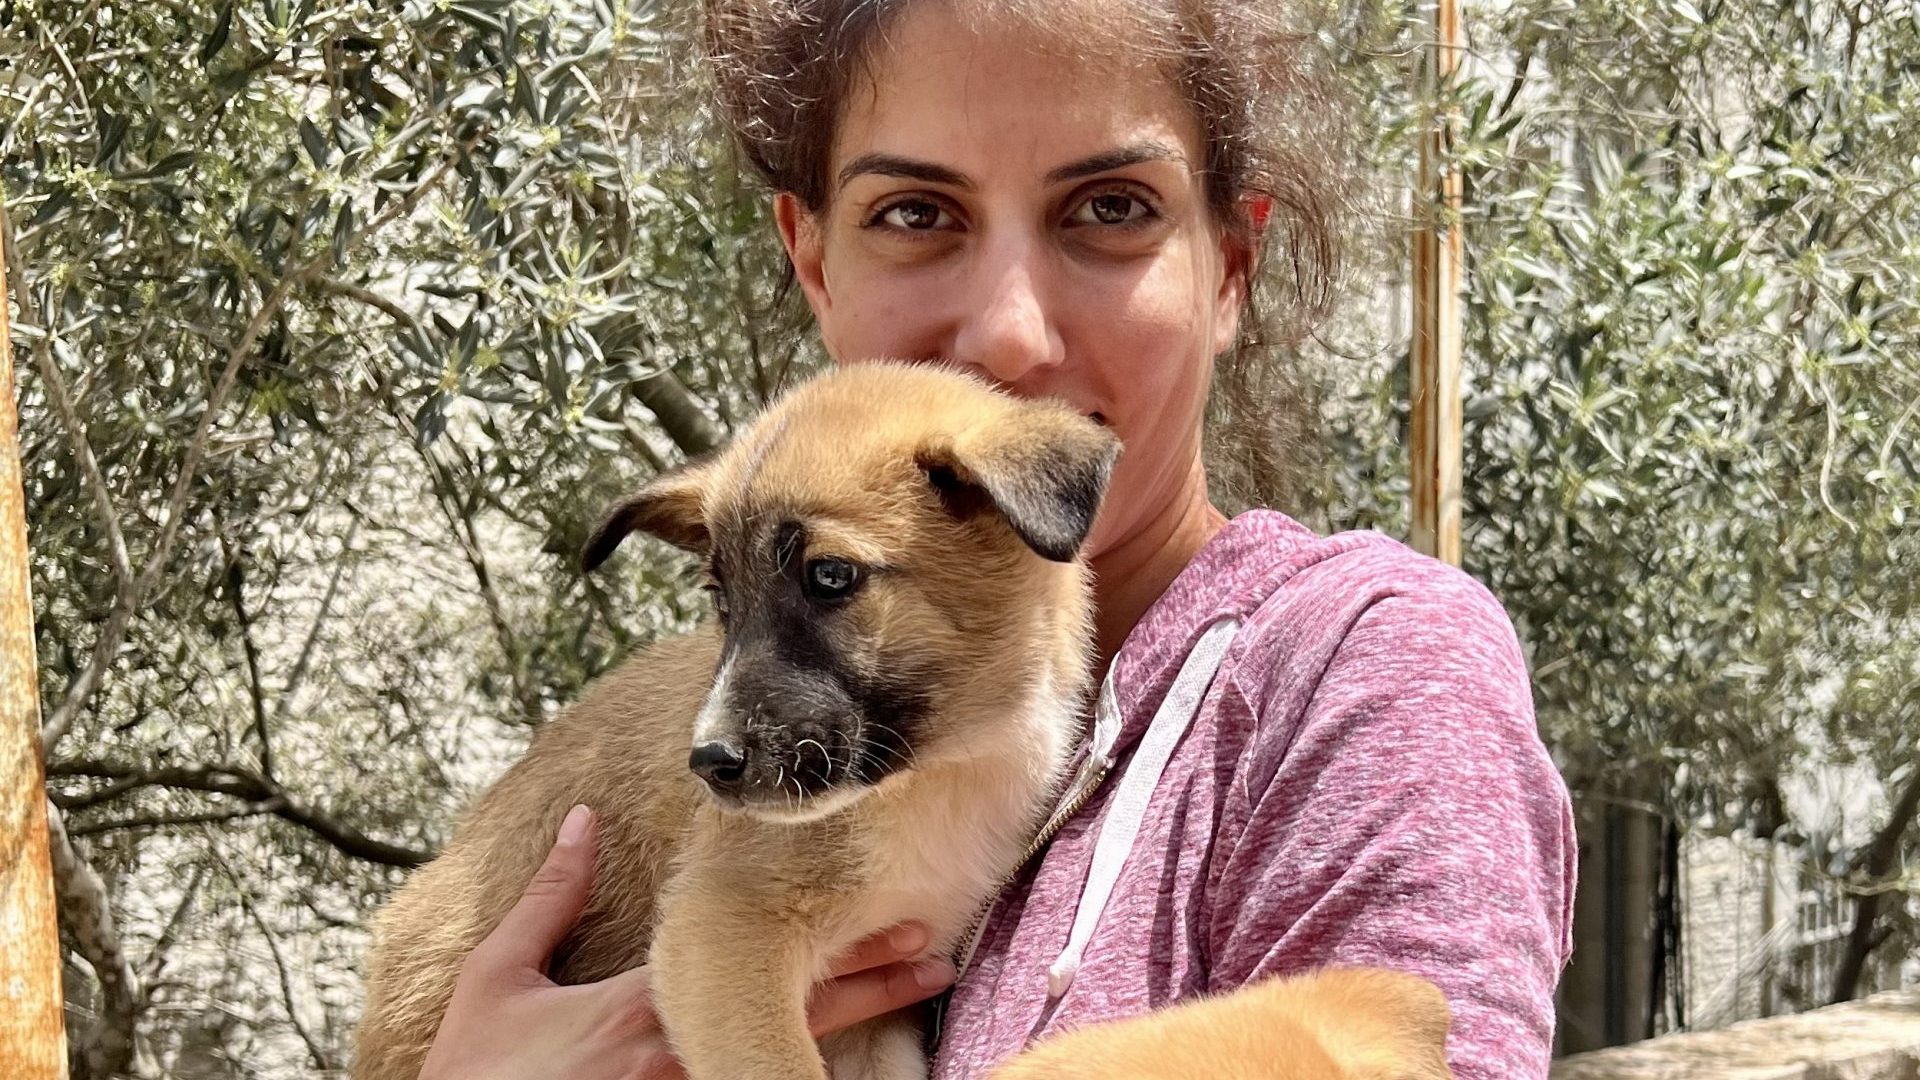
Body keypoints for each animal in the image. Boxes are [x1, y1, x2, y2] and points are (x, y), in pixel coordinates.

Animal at [353, 361, 1121, 1076]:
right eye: (722, 600)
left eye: (830, 576)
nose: (709, 765)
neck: (946, 771)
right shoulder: (722, 931)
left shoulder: (874, 1006)